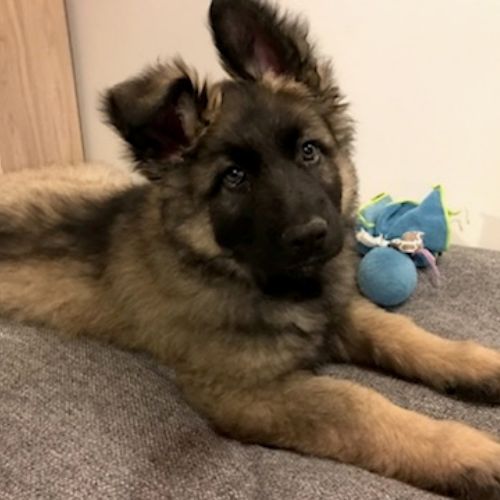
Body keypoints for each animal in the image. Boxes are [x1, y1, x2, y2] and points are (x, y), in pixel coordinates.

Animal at [0, 1, 499, 497]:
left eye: (308, 151)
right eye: (234, 178)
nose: (310, 235)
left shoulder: (340, 311)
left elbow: (403, 333)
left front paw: (481, 365)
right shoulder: (245, 392)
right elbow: (358, 405)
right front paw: (469, 454)